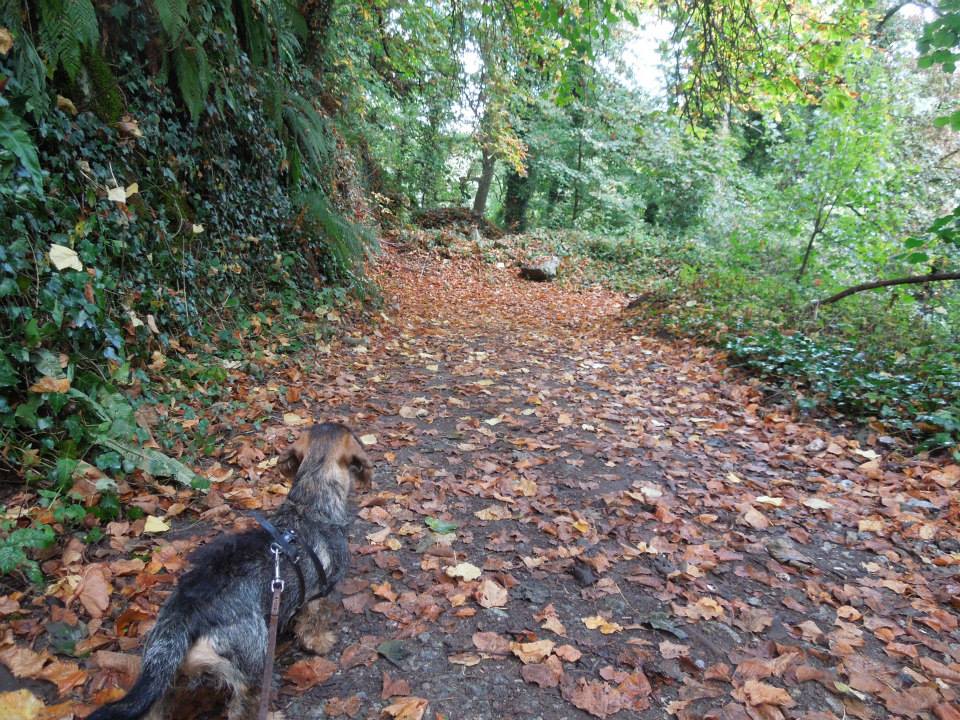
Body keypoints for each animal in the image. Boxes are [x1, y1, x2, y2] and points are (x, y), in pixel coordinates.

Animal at [90, 422, 374, 720]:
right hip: (253, 666)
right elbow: (313, 625)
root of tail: (184, 614)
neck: (309, 505)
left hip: (163, 678)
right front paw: (320, 642)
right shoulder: (321, 595)